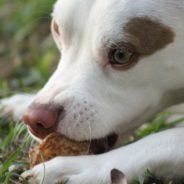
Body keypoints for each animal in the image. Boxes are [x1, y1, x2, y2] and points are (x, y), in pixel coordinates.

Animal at [1, 0, 184, 183]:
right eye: (56, 29)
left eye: (121, 55)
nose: (35, 118)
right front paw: (21, 103)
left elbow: (170, 137)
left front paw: (85, 166)